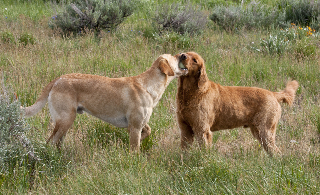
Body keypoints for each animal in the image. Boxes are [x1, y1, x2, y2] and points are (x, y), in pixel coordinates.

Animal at [23, 54, 188, 152]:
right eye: (174, 56)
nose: (183, 55)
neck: (149, 86)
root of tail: (58, 80)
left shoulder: (139, 124)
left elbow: (147, 132)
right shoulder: (135, 126)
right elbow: (135, 149)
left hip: (64, 124)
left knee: (56, 142)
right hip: (66, 120)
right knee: (50, 142)